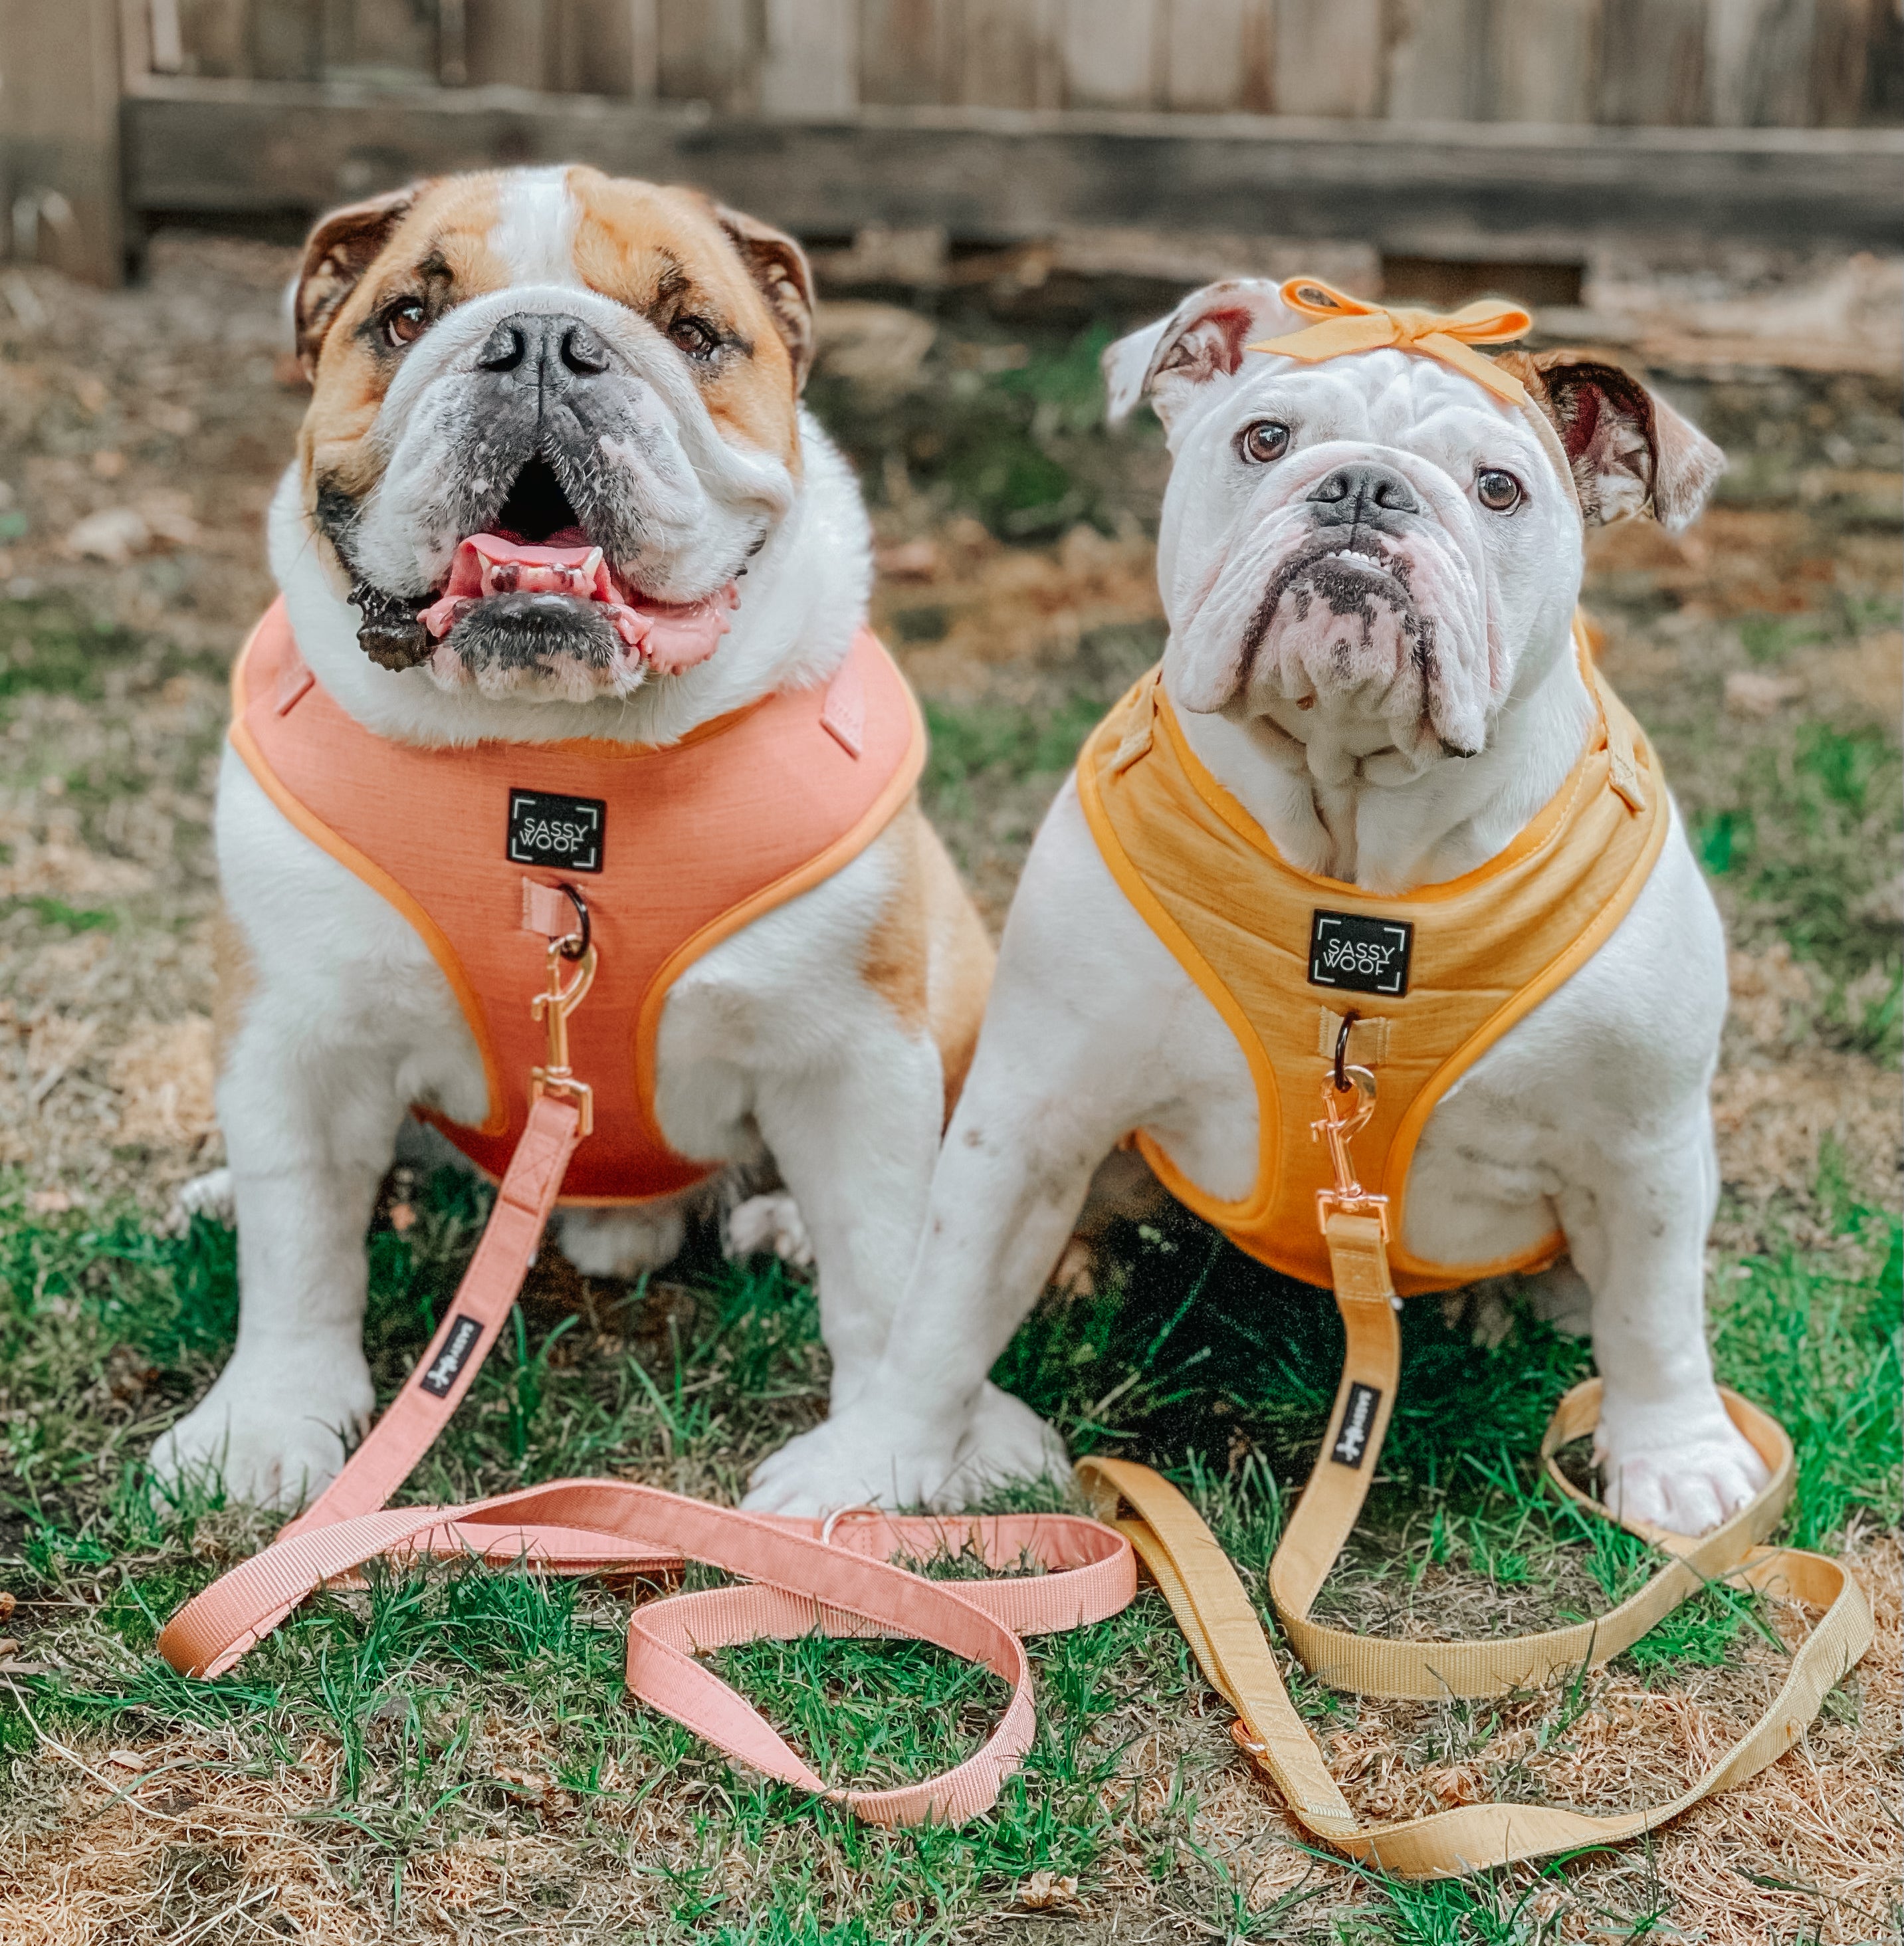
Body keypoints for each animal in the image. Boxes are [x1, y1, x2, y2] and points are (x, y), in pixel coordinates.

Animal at [151, 166, 1014, 1510]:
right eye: (406, 317)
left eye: (696, 331)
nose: (544, 343)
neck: (555, 756)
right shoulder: (295, 1033)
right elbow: (299, 1242)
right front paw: (266, 1419)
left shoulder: (855, 1054)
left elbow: (885, 1268)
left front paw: (883, 1458)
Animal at [746, 277, 1770, 1540]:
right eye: (1267, 439)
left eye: (1499, 488)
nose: (1365, 488)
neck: (1355, 835)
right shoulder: (1033, 1106)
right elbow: (943, 1304)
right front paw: (878, 1458)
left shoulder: (1644, 1143)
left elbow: (1657, 1316)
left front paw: (1678, 1457)